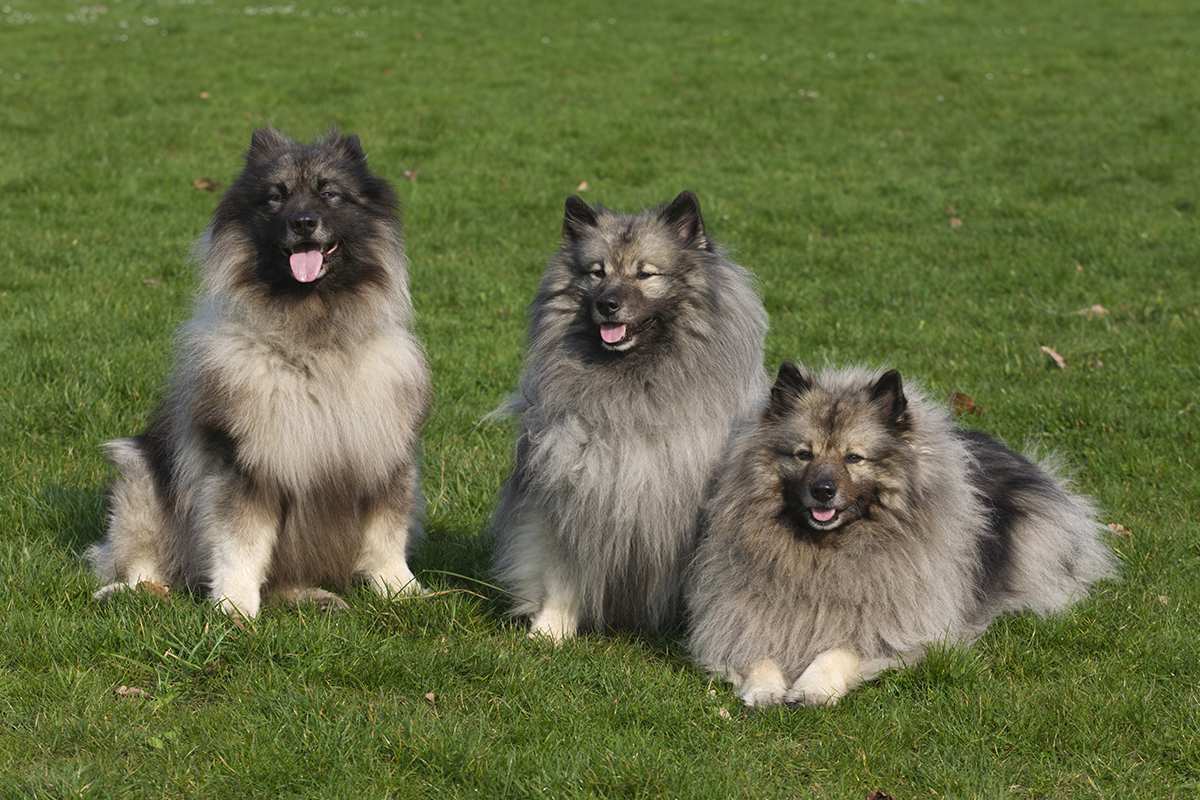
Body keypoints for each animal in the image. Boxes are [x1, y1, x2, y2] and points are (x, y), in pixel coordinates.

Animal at [85, 128, 432, 618]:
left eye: (329, 193)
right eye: (275, 197)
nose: (304, 222)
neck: (311, 346)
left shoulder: (383, 456)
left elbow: (386, 536)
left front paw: (402, 590)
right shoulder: (245, 467)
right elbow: (241, 544)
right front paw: (233, 607)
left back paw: (315, 596)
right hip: (140, 476)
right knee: (138, 563)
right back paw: (136, 592)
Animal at [487, 190, 768, 642]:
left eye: (645, 274)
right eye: (597, 273)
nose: (607, 305)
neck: (634, 388)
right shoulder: (571, 493)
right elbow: (562, 572)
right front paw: (550, 631)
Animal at [686, 362, 1113, 705]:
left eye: (853, 457)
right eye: (803, 454)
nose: (823, 490)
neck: (825, 553)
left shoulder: (895, 628)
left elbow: (840, 650)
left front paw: (812, 686)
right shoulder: (745, 618)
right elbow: (756, 652)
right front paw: (765, 687)